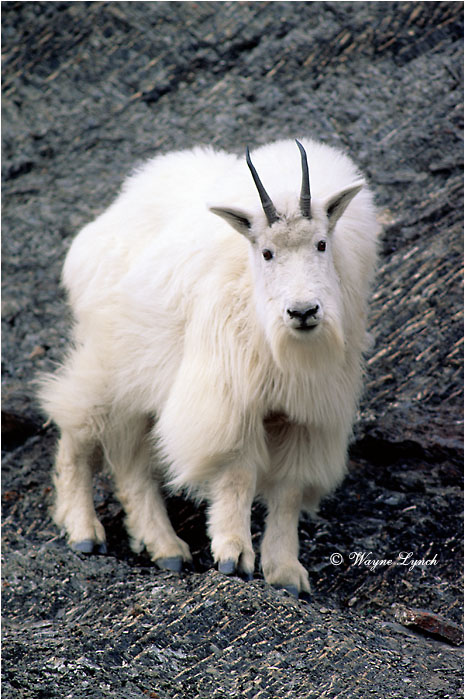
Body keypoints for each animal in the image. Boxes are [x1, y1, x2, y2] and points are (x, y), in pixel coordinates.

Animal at [39, 138, 379, 596]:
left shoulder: (305, 415)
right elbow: (236, 474)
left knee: (132, 462)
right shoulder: (229, 397)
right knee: (78, 432)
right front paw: (234, 556)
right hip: (107, 362)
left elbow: (288, 491)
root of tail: (103, 223)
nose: (303, 312)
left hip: (141, 382)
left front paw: (286, 572)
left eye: (322, 244)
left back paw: (164, 547)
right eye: (266, 252)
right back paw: (83, 532)